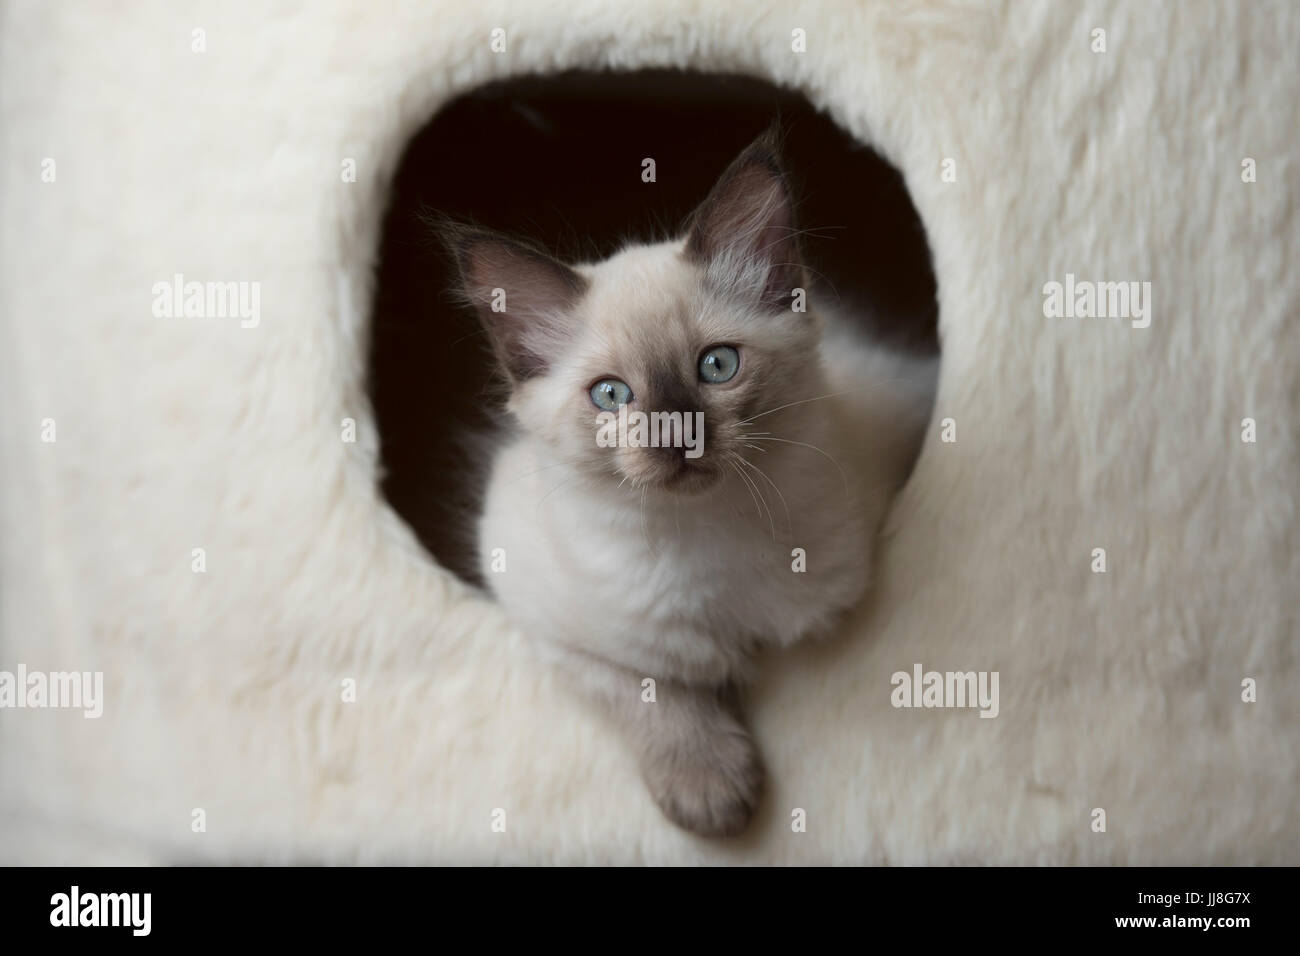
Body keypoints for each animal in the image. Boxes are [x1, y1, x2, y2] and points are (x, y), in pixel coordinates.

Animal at [447, 132, 935, 837]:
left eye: (718, 366)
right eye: (612, 396)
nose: (677, 437)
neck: (705, 533)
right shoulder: (541, 610)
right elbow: (651, 689)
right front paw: (711, 792)